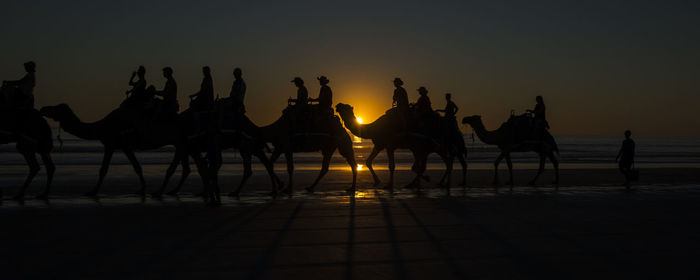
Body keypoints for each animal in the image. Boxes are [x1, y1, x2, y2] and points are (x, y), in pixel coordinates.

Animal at [39, 103, 208, 197]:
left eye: (57, 108)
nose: (43, 108)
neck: (101, 126)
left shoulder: (110, 144)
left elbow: (103, 169)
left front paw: (92, 192)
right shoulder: (126, 147)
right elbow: (137, 167)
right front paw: (142, 190)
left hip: (180, 142)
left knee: (175, 168)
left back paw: (160, 192)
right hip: (185, 144)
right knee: (191, 167)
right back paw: (180, 191)